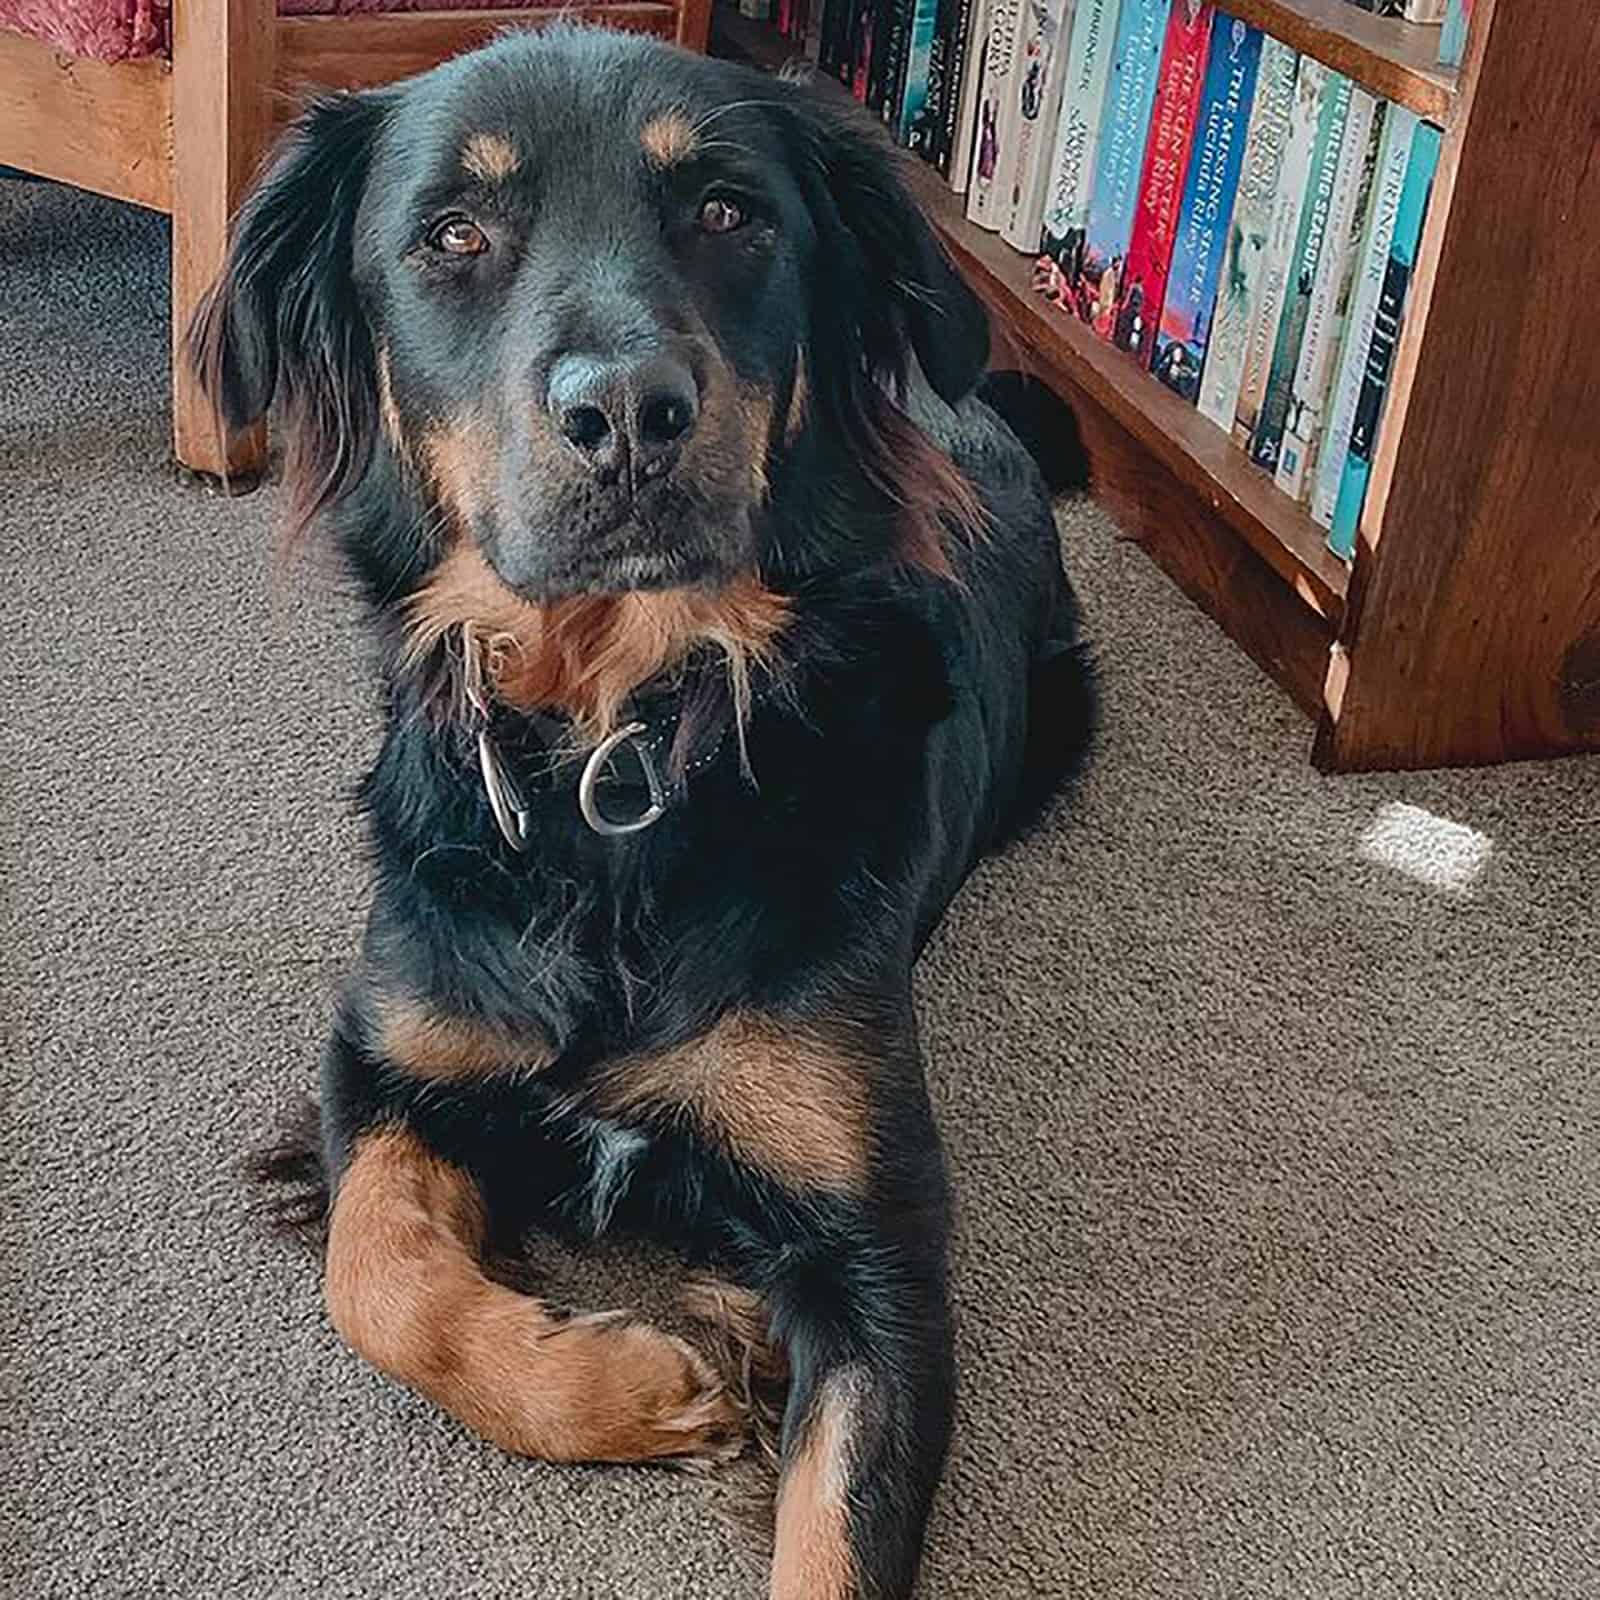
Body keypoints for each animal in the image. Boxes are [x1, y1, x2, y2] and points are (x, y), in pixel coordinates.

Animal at [196, 28, 1100, 1600]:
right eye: (452, 234)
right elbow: (375, 1273)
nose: (626, 414)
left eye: (730, 212)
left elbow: (837, 1534)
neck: (613, 754)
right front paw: (632, 1383)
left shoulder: (878, 1252)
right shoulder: (387, 1054)